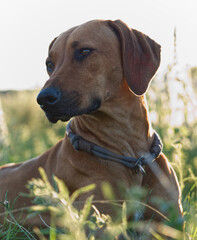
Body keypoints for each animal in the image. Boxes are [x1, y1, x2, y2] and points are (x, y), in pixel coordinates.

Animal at [0, 19, 183, 233]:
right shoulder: (100, 225)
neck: (131, 154)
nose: (43, 99)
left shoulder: (171, 223)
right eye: (49, 64)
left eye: (85, 51)